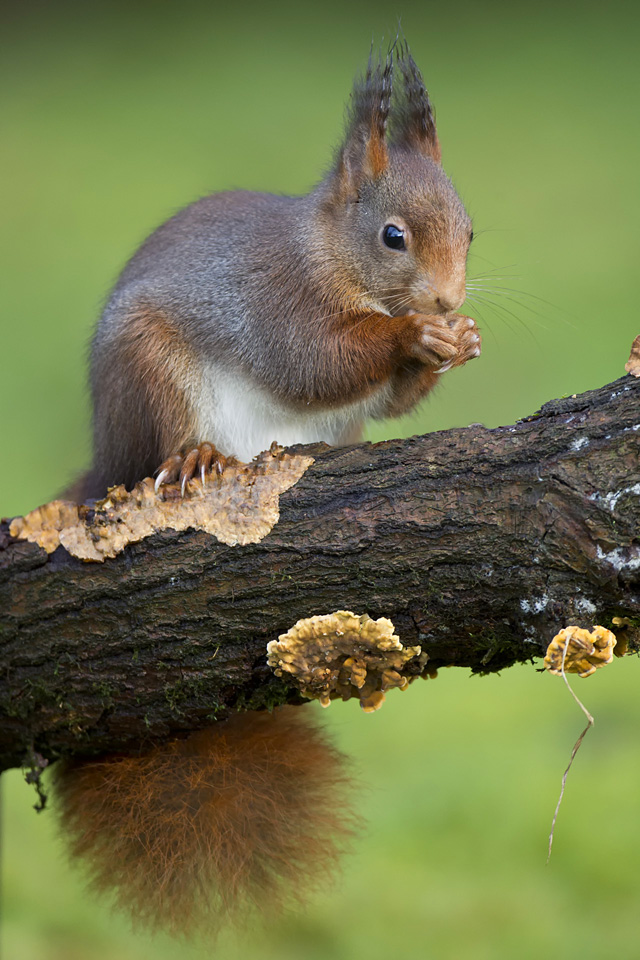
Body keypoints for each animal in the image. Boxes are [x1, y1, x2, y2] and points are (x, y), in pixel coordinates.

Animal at [53, 45, 480, 936]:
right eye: (393, 236)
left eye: (471, 231)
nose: (449, 300)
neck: (331, 254)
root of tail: (106, 454)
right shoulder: (277, 300)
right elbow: (316, 360)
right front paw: (412, 334)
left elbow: (387, 399)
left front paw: (456, 342)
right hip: (150, 377)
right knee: (163, 449)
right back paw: (194, 459)